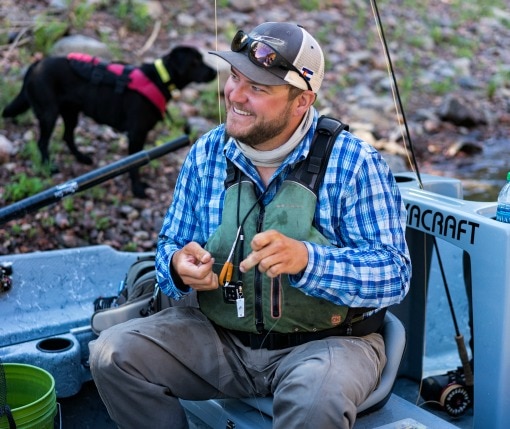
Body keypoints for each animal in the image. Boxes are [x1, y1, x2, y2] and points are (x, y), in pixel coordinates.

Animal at [2, 46, 217, 196]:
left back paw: (82, 158)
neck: (159, 78)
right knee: (42, 142)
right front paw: (137, 189)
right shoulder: (136, 134)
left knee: (67, 136)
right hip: (49, 113)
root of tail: (35, 65)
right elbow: (135, 165)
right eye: (196, 61)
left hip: (71, 112)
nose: (215, 72)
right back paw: (49, 167)